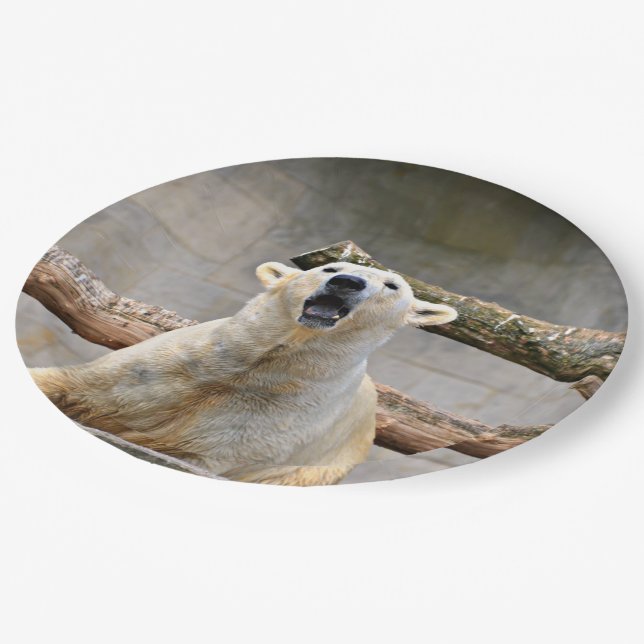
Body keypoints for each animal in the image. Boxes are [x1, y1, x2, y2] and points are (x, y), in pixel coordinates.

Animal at [29, 261, 457, 486]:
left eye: (392, 285)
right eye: (329, 266)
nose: (346, 282)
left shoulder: (270, 416)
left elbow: (191, 451)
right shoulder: (162, 365)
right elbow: (74, 383)